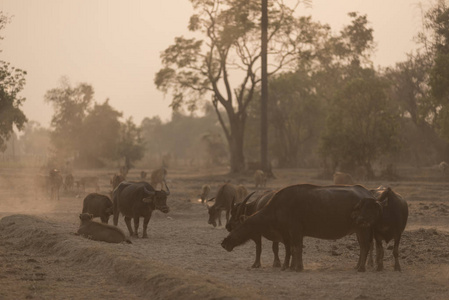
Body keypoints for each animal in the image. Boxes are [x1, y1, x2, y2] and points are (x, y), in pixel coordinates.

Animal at [220, 184, 382, 274]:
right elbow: (292, 249)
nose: (224, 242)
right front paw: (292, 266)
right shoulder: (289, 234)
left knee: (365, 246)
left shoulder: (295, 231)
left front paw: (297, 267)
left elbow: (296, 248)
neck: (277, 207)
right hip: (359, 230)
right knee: (363, 246)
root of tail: (369, 195)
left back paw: (361, 268)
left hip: (362, 228)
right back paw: (357, 266)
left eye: (238, 227)